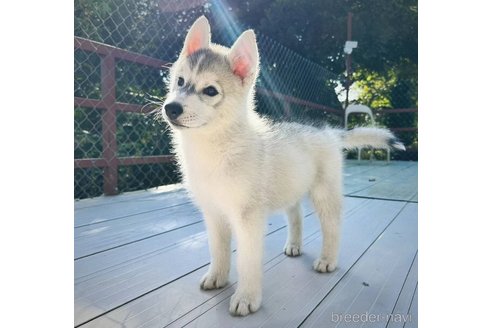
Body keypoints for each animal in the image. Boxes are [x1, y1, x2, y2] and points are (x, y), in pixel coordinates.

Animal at [161, 16, 404, 318]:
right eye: (180, 81)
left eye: (210, 91)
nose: (171, 108)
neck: (214, 147)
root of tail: (329, 132)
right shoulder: (213, 213)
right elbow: (218, 249)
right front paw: (216, 277)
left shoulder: (248, 218)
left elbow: (247, 260)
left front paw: (246, 298)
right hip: (292, 187)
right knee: (296, 215)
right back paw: (294, 245)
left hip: (324, 193)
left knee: (332, 226)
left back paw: (328, 259)